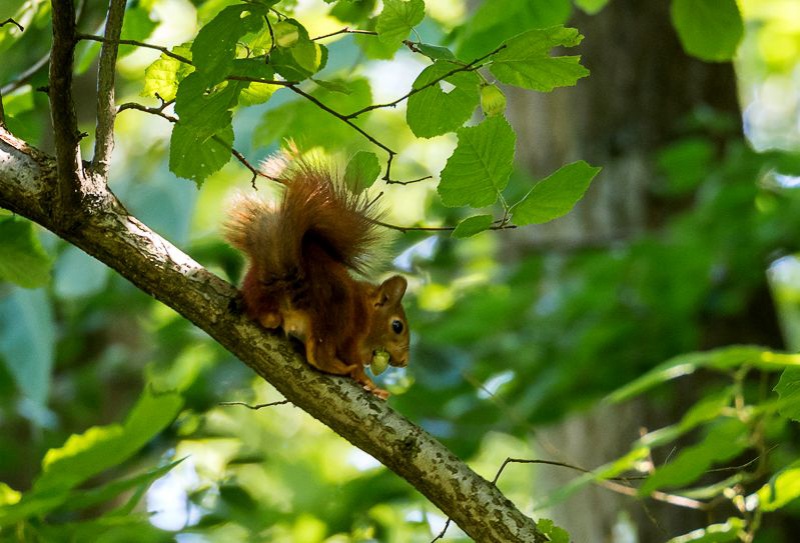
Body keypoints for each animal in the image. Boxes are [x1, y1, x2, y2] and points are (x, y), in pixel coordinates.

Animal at [225, 157, 412, 400]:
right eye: (397, 326)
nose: (404, 362)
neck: (365, 308)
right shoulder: (352, 335)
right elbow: (354, 360)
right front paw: (368, 382)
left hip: (258, 294)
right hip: (336, 313)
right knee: (318, 355)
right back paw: (338, 367)